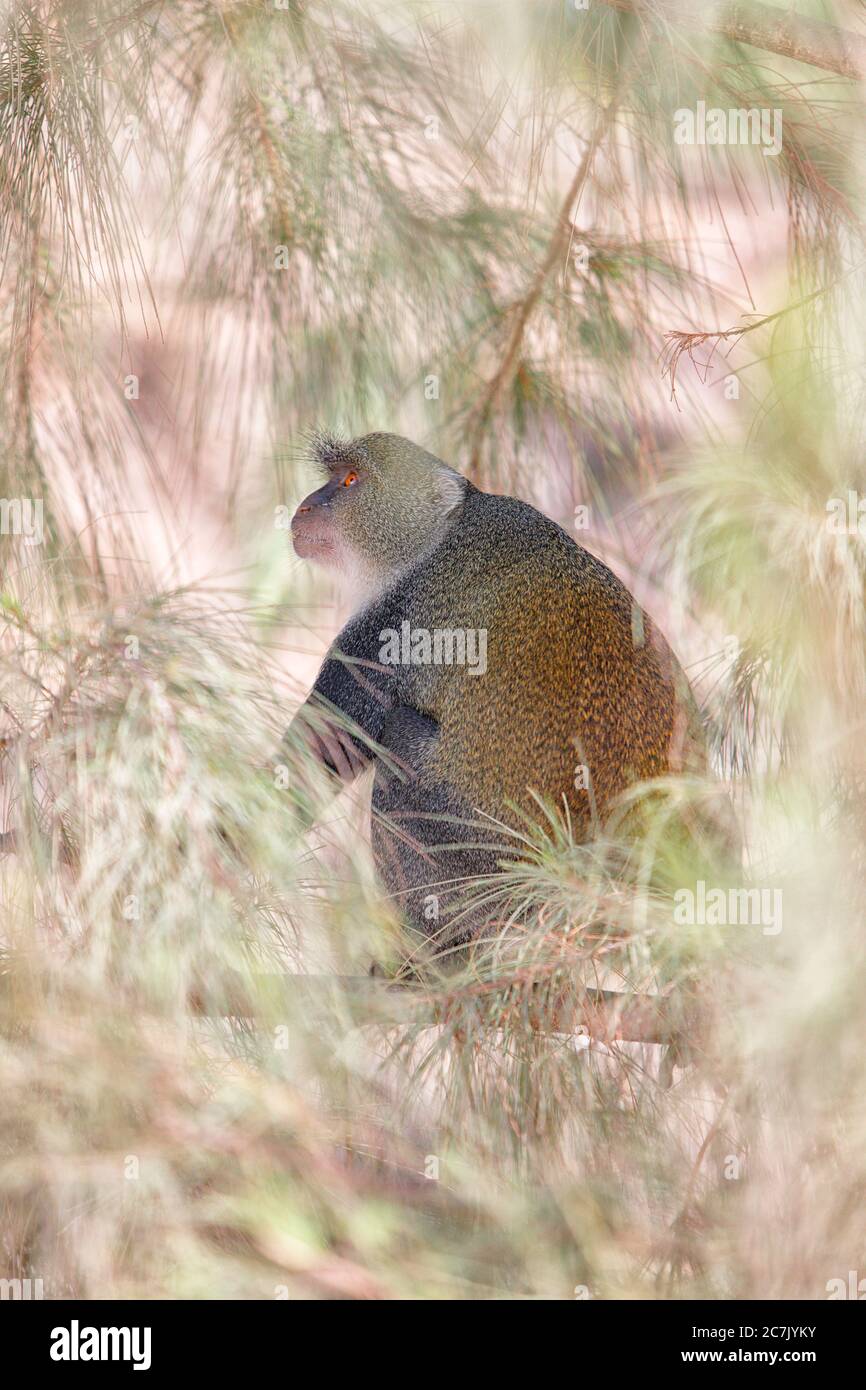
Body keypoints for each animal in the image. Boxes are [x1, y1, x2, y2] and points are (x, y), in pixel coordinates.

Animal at [287, 433, 708, 956]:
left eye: (349, 481)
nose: (307, 506)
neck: (442, 533)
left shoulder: (386, 629)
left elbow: (316, 757)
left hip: (477, 855)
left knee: (399, 746)